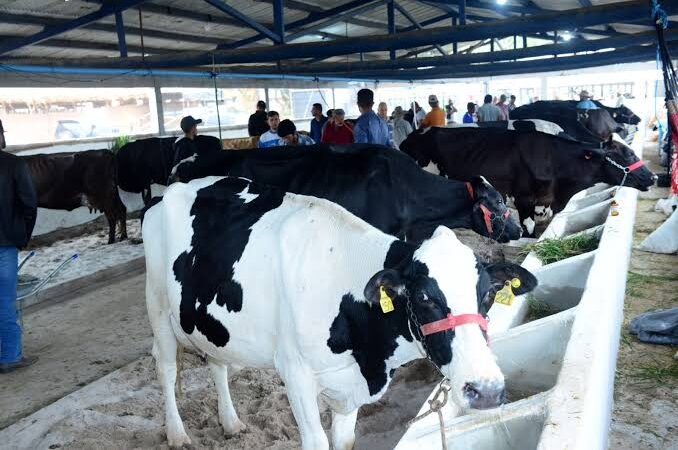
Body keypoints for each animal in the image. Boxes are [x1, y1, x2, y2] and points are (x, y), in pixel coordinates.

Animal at [146, 177, 540, 450]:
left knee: (217, 363)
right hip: (159, 309)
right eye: (425, 297)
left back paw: (230, 422)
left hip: (208, 322)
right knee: (165, 368)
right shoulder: (296, 374)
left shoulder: (349, 387)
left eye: (488, 294)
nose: (486, 391)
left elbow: (345, 441)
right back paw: (177, 434)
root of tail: (173, 189)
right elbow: (316, 442)